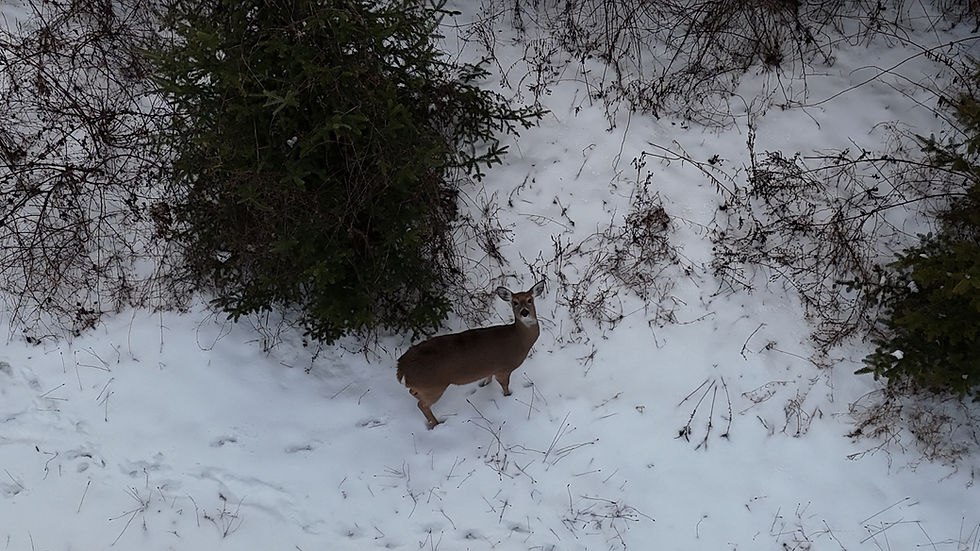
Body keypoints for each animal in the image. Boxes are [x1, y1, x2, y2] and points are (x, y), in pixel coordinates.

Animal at [396, 280, 546, 429]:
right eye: (514, 302)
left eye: (530, 300)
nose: (525, 312)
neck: (519, 340)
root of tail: (401, 369)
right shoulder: (503, 369)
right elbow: (505, 387)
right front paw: (507, 397)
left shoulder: (492, 368)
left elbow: (488, 378)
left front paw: (485, 385)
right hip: (433, 387)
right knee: (422, 405)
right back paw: (436, 424)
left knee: (413, 394)